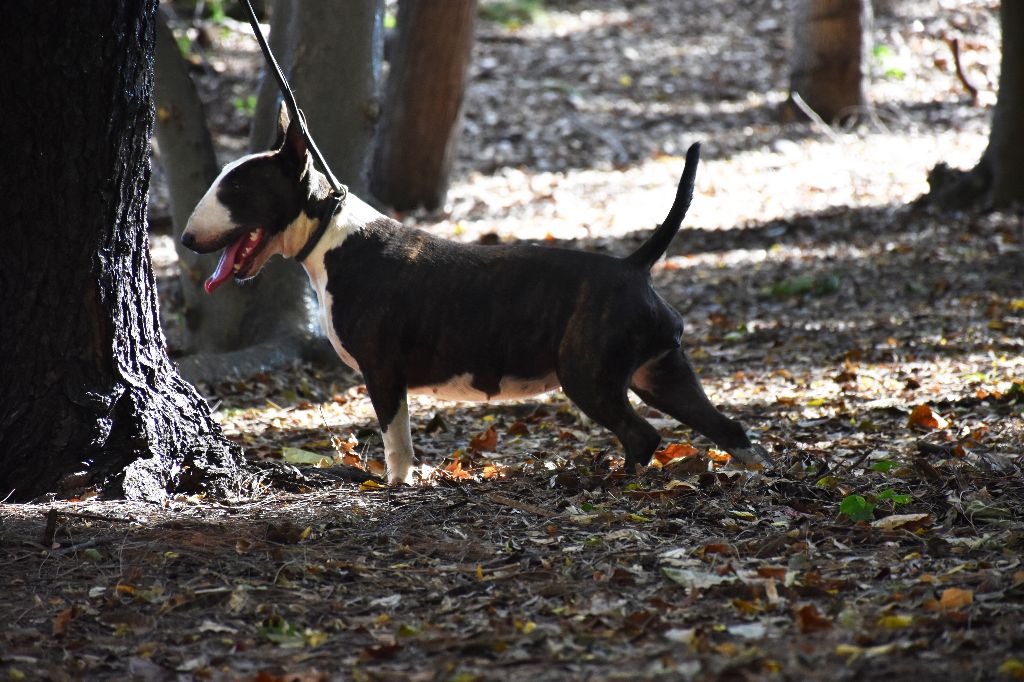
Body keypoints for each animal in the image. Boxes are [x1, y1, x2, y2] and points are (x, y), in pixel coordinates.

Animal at [182, 111, 768, 484]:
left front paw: (396, 488)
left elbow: (396, 443)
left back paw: (616, 486)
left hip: (590, 376)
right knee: (726, 425)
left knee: (642, 436)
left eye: (237, 190)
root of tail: (633, 266)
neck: (331, 235)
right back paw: (763, 473)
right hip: (661, 372)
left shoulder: (383, 372)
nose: (185, 240)